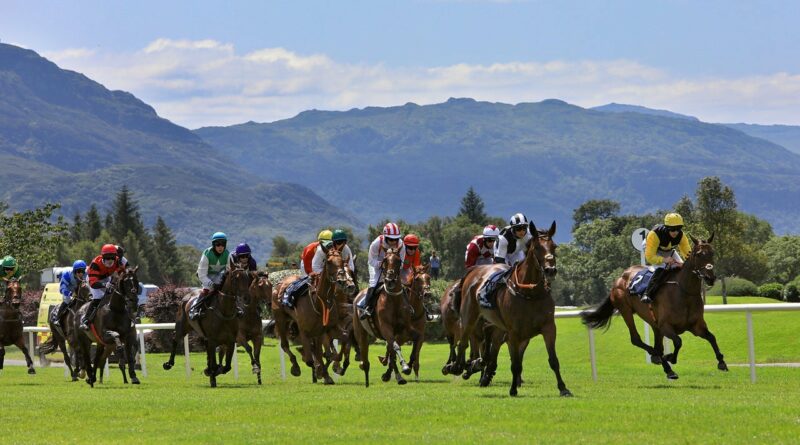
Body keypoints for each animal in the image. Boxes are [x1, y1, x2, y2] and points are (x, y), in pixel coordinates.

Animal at [272, 248, 354, 384]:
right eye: (328, 261)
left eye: (343, 262)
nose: (346, 283)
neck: (319, 303)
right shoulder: (307, 331)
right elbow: (313, 358)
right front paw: (320, 371)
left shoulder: (324, 329)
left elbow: (328, 351)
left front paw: (328, 372)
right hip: (281, 320)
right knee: (285, 345)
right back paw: (296, 367)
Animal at [352, 246, 416, 386]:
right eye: (385, 260)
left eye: (398, 261)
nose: (390, 281)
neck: (394, 300)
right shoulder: (386, 328)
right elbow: (394, 346)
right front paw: (404, 368)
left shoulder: (405, 328)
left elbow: (399, 345)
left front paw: (405, 366)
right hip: (361, 332)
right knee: (365, 351)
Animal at [454, 220, 572, 398]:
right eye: (537, 247)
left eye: (554, 246)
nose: (550, 270)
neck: (530, 293)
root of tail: (474, 272)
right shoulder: (514, 332)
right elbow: (515, 363)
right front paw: (513, 389)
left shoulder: (548, 328)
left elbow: (553, 360)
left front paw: (563, 388)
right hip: (469, 317)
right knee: (464, 342)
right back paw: (458, 367)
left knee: (489, 347)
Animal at [580, 232, 724, 378]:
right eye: (699, 254)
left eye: (712, 253)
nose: (710, 278)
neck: (684, 292)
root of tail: (620, 278)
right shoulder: (665, 326)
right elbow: (678, 341)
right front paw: (670, 357)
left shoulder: (696, 326)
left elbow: (711, 337)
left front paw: (721, 362)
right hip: (625, 310)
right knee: (637, 340)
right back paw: (659, 358)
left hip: (652, 320)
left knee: (657, 345)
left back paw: (666, 367)